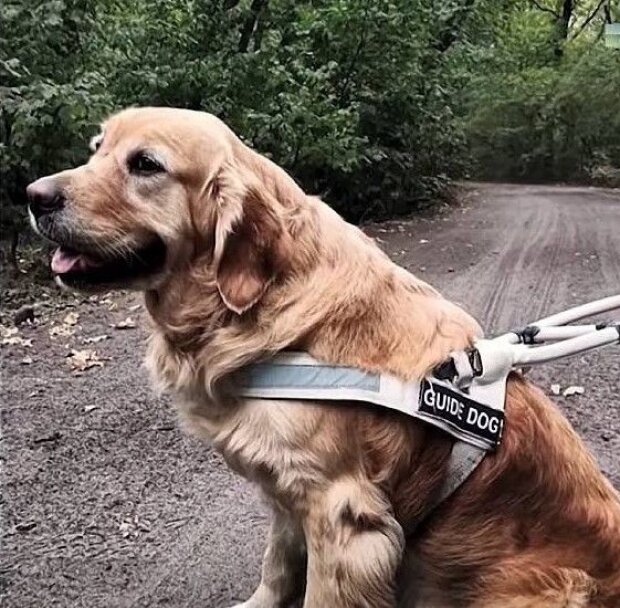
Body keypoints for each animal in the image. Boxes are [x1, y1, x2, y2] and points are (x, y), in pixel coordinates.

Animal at [27, 109, 620, 608]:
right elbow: (276, 566)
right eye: (97, 149)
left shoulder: (343, 514)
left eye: (145, 164)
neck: (265, 307)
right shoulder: (288, 491)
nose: (34, 196)